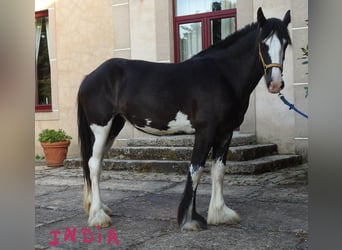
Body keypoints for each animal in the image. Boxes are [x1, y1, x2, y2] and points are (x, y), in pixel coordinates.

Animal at [77, 7, 292, 230]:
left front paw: (220, 213)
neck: (223, 75)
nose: (275, 83)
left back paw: (99, 208)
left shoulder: (225, 133)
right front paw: (190, 219)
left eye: (286, 43)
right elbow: (196, 170)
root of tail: (89, 77)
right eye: (263, 43)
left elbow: (218, 171)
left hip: (113, 127)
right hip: (101, 127)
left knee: (97, 164)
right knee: (93, 164)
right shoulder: (205, 131)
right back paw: (98, 216)